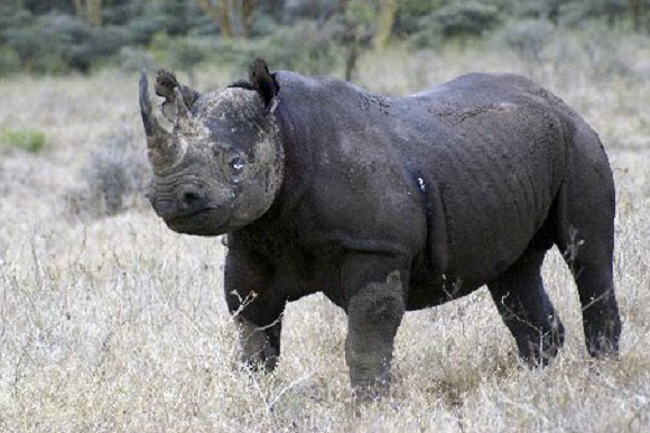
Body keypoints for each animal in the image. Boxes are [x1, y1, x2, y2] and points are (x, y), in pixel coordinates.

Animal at [138, 59, 621, 398]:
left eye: (236, 164)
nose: (169, 198)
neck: (285, 132)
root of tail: (558, 101)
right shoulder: (250, 244)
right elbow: (254, 338)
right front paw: (253, 399)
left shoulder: (377, 248)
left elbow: (365, 338)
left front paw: (370, 406)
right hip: (506, 162)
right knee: (514, 272)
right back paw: (540, 381)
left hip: (580, 143)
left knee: (588, 257)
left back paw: (604, 376)